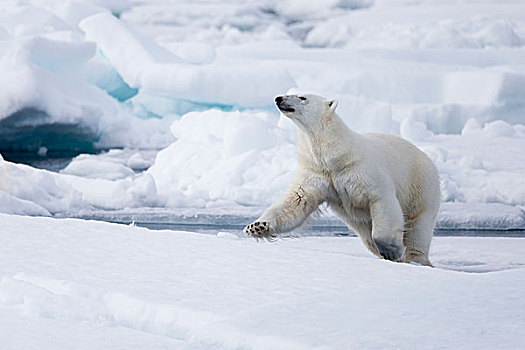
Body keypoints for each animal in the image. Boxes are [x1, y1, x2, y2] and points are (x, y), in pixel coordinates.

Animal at [244, 93, 440, 266]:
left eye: (302, 97)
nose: (279, 98)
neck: (334, 156)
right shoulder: (316, 173)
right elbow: (295, 201)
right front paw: (256, 227)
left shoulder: (363, 171)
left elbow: (381, 199)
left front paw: (392, 249)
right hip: (364, 220)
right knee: (367, 236)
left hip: (421, 186)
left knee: (418, 226)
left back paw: (416, 259)